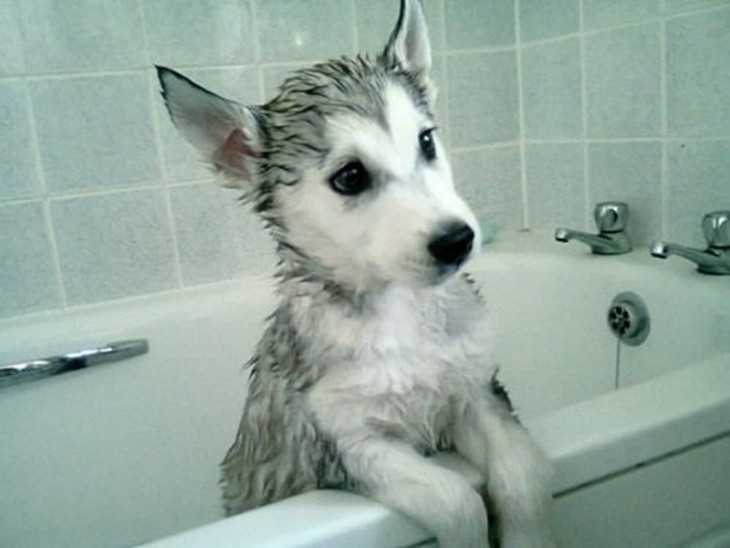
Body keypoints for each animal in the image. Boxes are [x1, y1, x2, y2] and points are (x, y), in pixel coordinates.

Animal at [155, 2, 552, 544]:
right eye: (350, 176)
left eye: (426, 141)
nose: (457, 240)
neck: (403, 313)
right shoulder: (348, 444)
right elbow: (458, 499)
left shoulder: (476, 394)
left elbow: (523, 473)